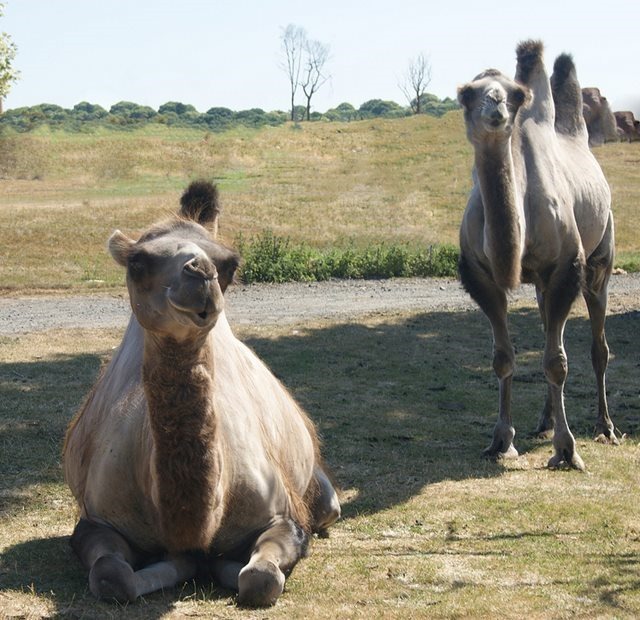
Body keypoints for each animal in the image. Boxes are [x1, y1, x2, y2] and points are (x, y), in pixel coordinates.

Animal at [63, 179, 340, 604]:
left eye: (230, 265)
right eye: (138, 262)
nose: (201, 274)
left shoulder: (283, 515)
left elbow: (260, 578)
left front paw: (217, 565)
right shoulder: (97, 519)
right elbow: (113, 575)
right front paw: (185, 564)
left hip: (322, 493)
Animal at [458, 41, 616, 468]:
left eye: (514, 94)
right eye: (468, 94)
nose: (495, 105)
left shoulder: (566, 267)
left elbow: (556, 362)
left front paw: (567, 450)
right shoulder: (480, 276)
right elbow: (503, 357)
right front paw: (501, 440)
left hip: (600, 260)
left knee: (597, 346)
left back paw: (605, 428)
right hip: (543, 285)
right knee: (548, 327)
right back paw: (544, 422)